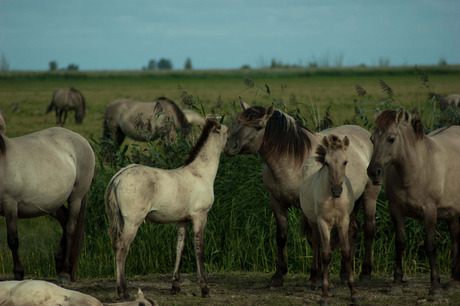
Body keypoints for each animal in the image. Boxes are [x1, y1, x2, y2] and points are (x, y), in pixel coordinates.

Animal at [0, 112, 95, 282]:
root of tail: (81, 140)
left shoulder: (9, 204)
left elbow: (13, 240)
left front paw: (18, 273)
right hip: (52, 203)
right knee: (64, 219)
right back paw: (59, 262)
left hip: (76, 197)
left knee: (70, 227)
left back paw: (65, 272)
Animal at [106, 118, 230, 300]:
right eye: (228, 132)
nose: (234, 149)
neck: (201, 173)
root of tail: (118, 177)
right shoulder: (200, 216)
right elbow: (199, 249)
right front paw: (204, 288)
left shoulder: (183, 220)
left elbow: (180, 248)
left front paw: (175, 286)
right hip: (132, 222)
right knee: (122, 248)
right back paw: (123, 292)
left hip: (121, 221)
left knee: (116, 247)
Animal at [224, 98, 380, 286]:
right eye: (238, 121)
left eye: (259, 126)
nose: (230, 146)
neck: (293, 162)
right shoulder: (276, 202)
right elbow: (281, 235)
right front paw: (279, 274)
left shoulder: (309, 206)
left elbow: (315, 238)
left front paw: (318, 277)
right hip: (351, 201)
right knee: (352, 230)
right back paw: (344, 274)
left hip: (370, 194)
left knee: (369, 229)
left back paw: (365, 273)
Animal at [300, 135, 364, 304]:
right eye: (327, 163)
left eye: (345, 162)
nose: (336, 190)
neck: (333, 199)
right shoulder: (322, 222)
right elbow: (326, 255)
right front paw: (324, 296)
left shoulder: (343, 222)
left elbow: (346, 252)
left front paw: (354, 292)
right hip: (314, 222)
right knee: (317, 244)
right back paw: (312, 281)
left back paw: (329, 284)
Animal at [366, 107, 460, 298]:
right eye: (372, 139)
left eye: (391, 139)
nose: (373, 172)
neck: (416, 169)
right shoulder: (396, 210)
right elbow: (400, 242)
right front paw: (396, 283)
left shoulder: (429, 211)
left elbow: (430, 246)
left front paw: (435, 286)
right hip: (452, 214)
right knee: (455, 238)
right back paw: (453, 281)